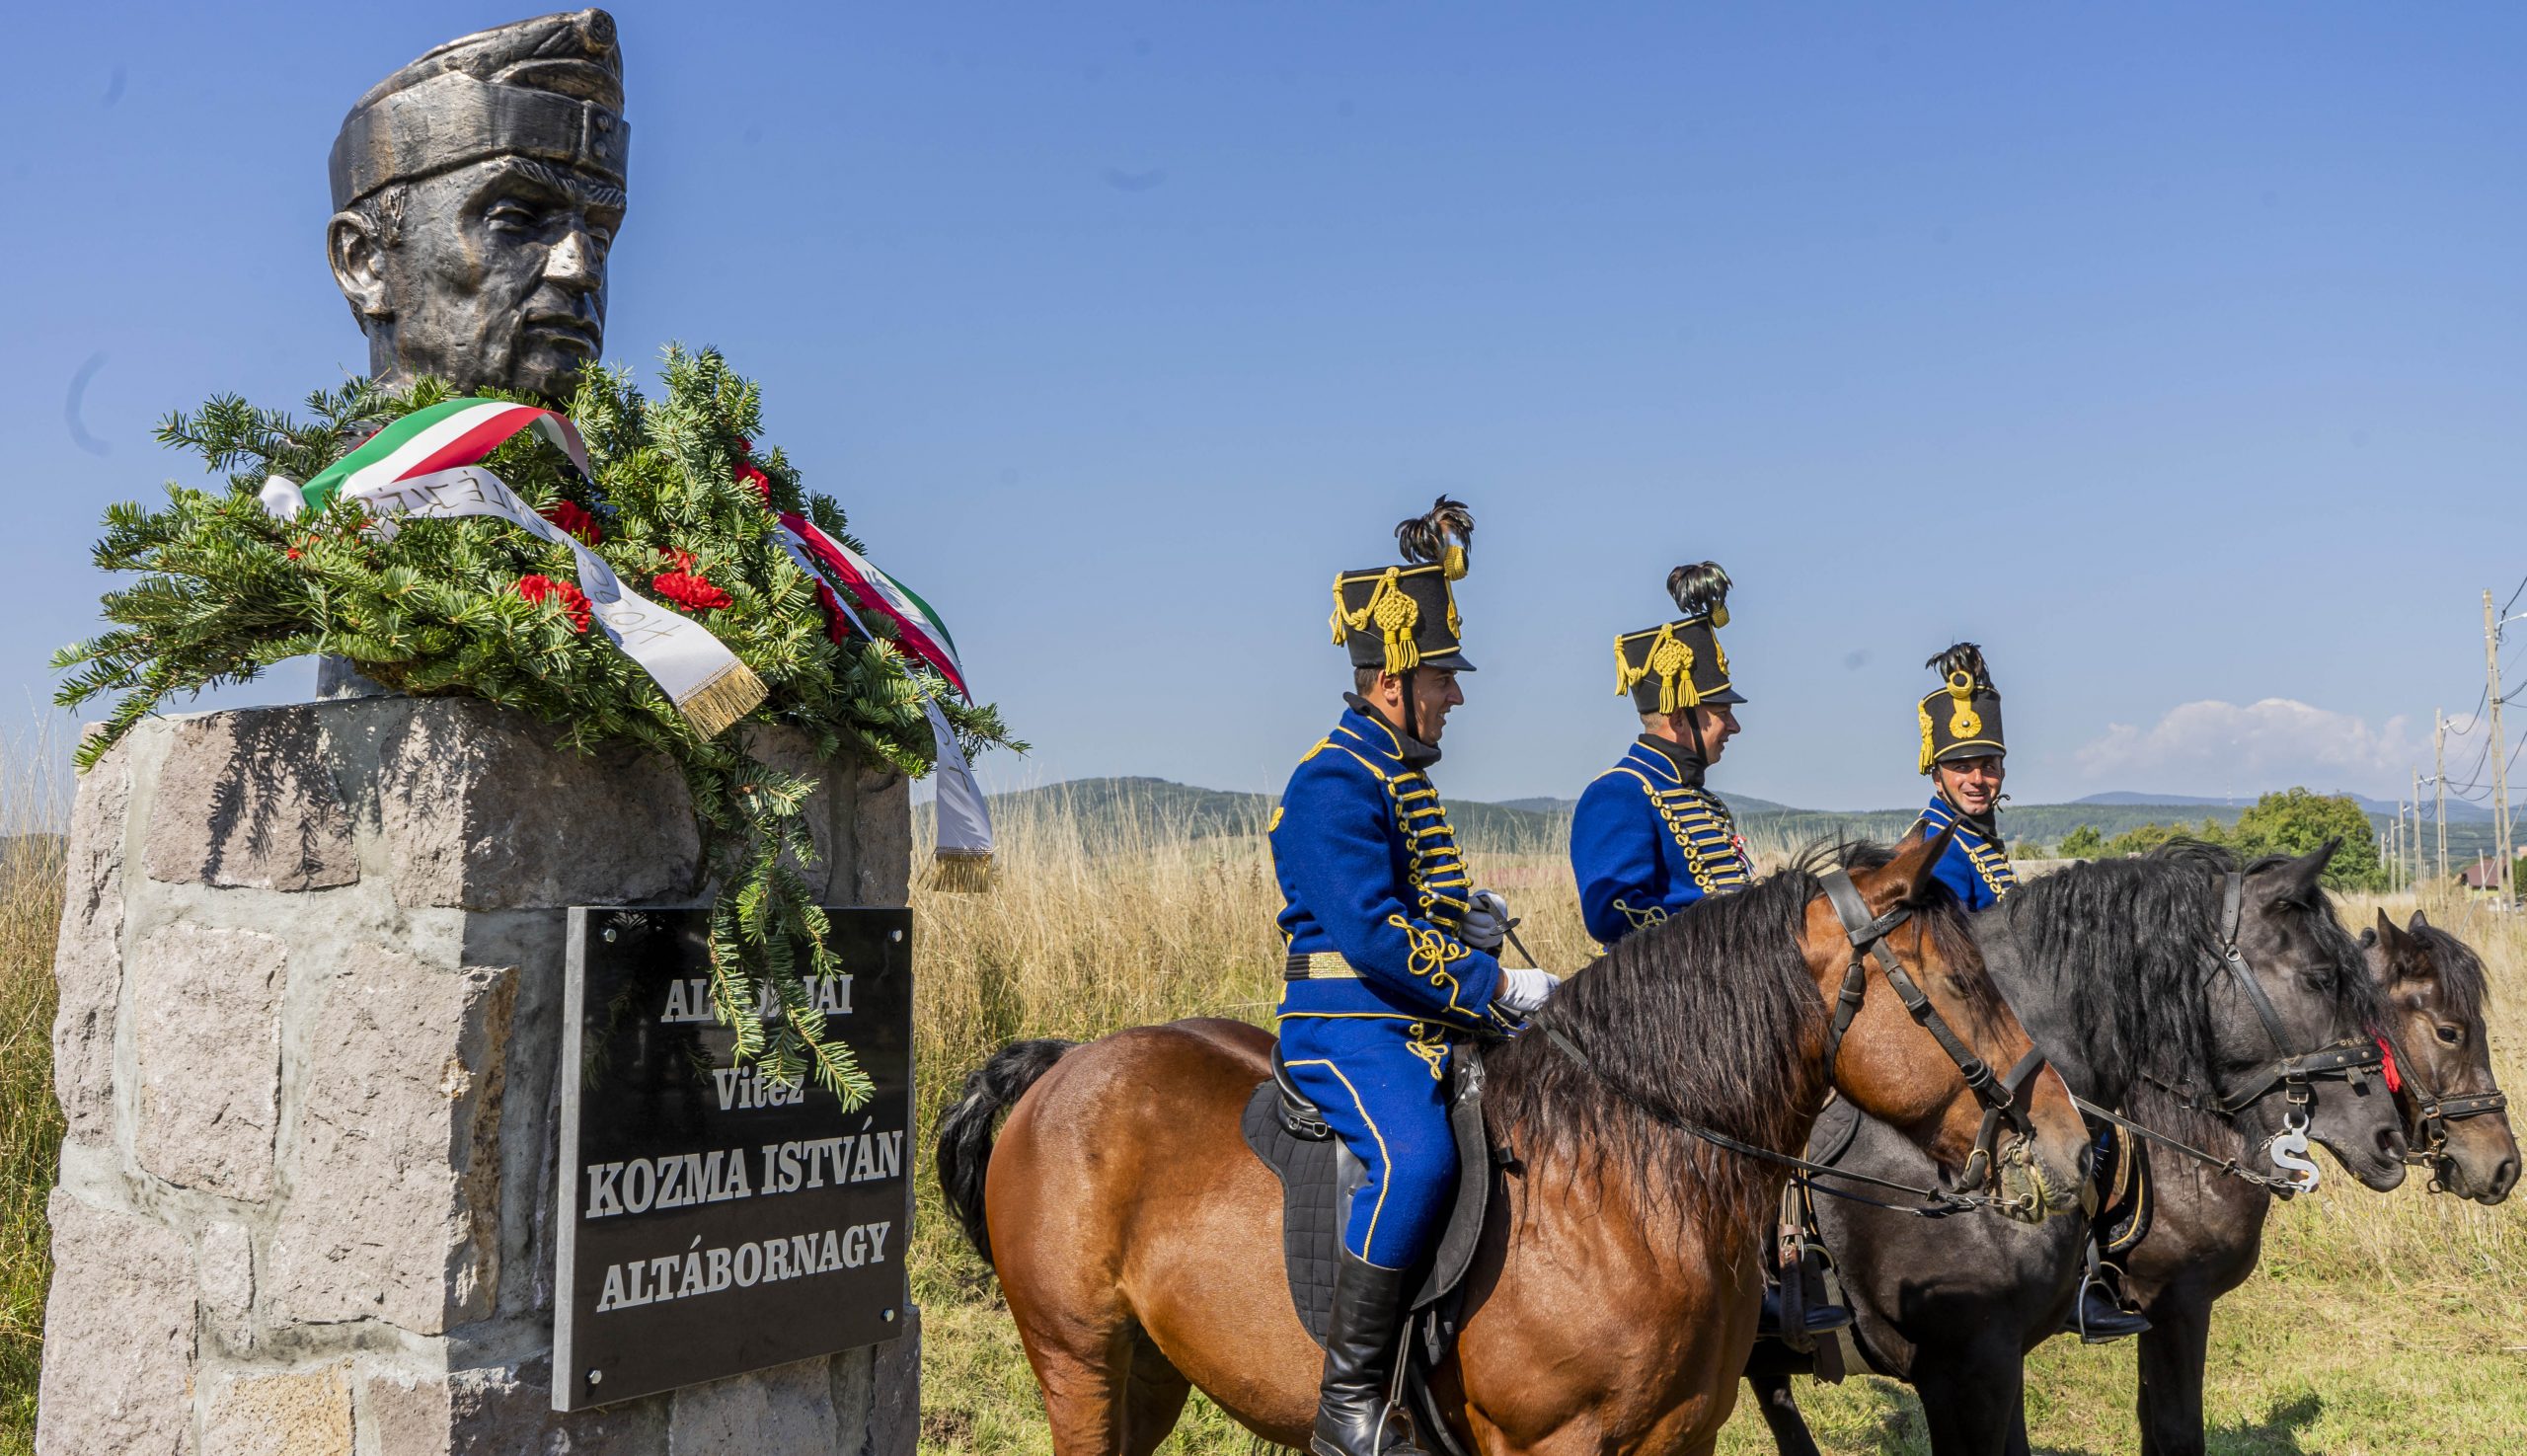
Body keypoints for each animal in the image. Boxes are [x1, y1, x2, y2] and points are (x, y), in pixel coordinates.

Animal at [935, 839, 2092, 1456]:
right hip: (1078, 1358)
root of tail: (1062, 1066)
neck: (1621, 1188)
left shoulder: (1681, 1432)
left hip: (1147, 1371)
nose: (2075, 1146)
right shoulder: (1555, 1442)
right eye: (1957, 983)